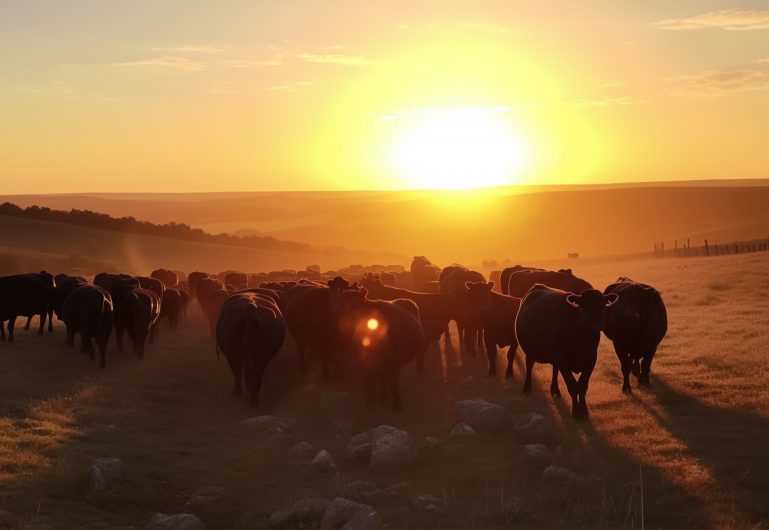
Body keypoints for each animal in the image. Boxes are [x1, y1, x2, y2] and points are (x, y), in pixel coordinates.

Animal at [512, 282, 616, 418]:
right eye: (583, 307)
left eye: (602, 305)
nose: (595, 326)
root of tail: (538, 285)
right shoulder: (564, 362)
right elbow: (572, 386)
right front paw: (576, 412)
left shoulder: (590, 360)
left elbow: (582, 386)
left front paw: (584, 411)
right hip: (530, 350)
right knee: (529, 365)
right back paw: (527, 388)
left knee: (555, 369)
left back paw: (555, 390)